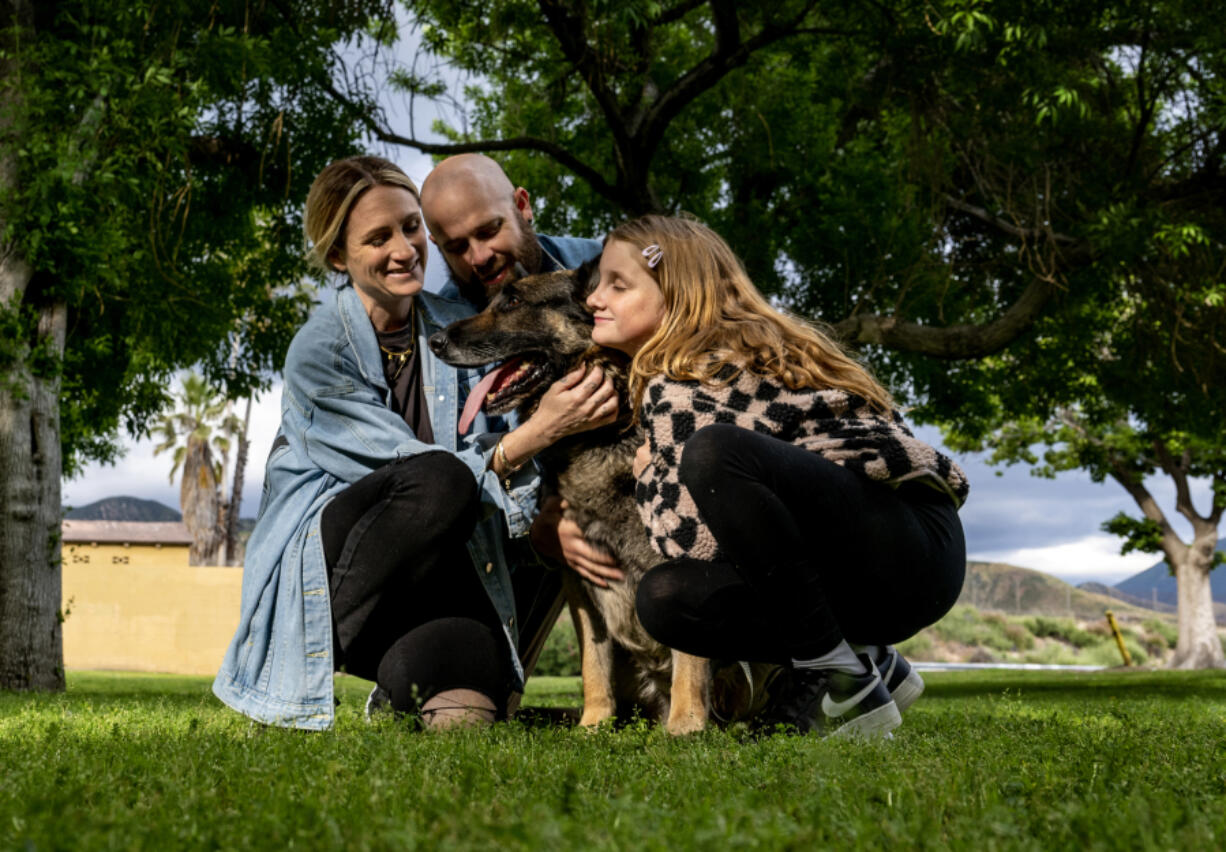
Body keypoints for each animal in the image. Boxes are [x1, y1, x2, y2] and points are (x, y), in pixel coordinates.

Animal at [429, 261, 725, 735]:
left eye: (514, 301)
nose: (435, 341)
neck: (606, 433)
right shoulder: (577, 577)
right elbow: (592, 661)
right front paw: (594, 723)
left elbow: (689, 658)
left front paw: (686, 724)